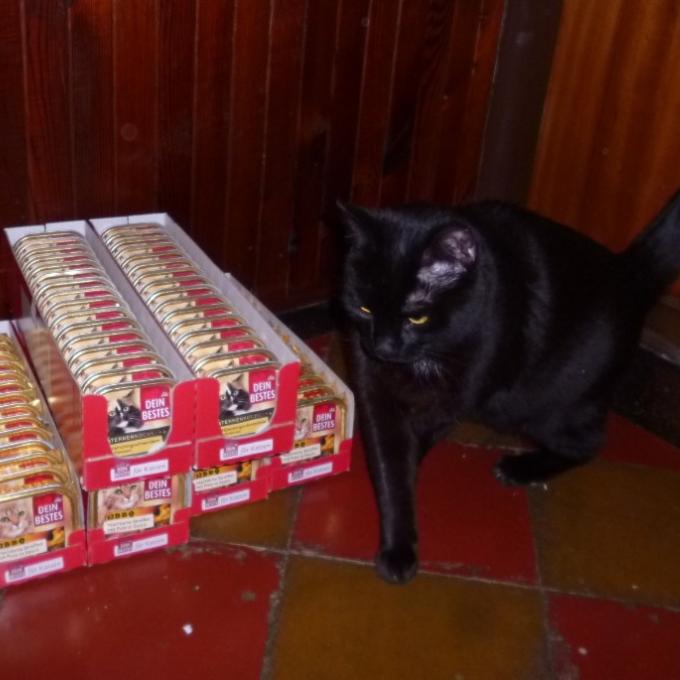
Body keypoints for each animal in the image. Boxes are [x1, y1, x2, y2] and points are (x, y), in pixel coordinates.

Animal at [339, 190, 680, 584]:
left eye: (417, 315)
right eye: (365, 309)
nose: (383, 347)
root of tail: (630, 274)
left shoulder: (451, 398)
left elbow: (411, 447)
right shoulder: (373, 387)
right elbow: (389, 459)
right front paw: (395, 536)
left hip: (546, 408)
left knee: (588, 444)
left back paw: (521, 468)